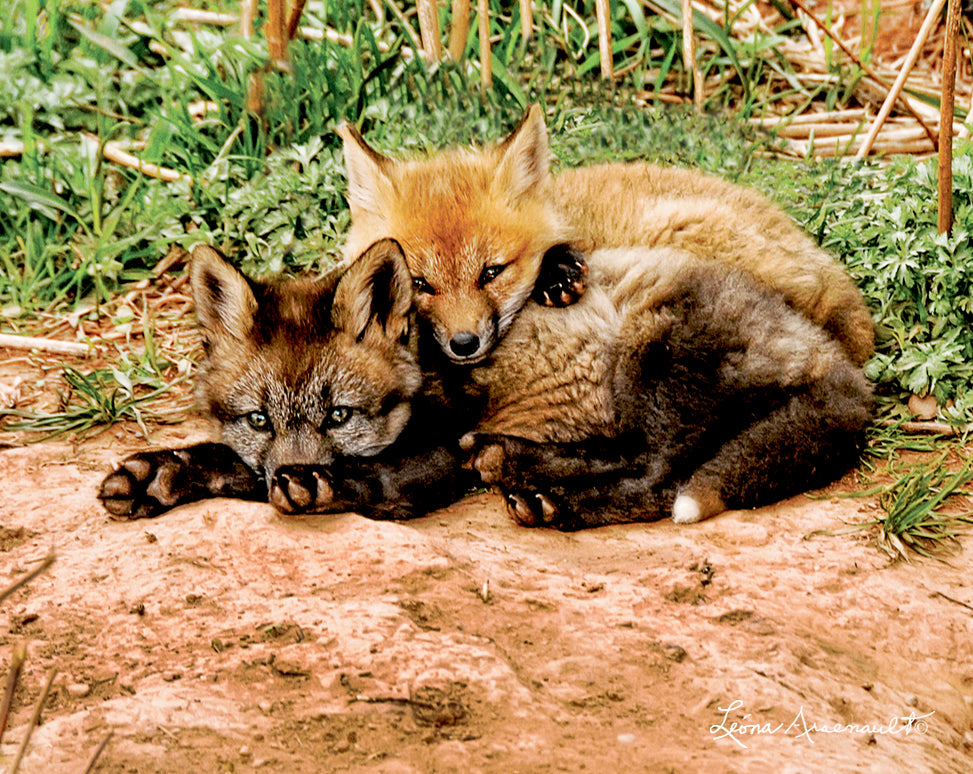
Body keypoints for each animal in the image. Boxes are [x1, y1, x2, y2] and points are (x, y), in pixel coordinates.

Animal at [99, 238, 872, 530]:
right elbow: (230, 463)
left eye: (341, 414)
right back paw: (517, 463)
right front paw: (162, 473)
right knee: (622, 456)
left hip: (654, 362)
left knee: (655, 479)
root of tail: (840, 362)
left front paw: (319, 487)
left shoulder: (431, 453)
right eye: (259, 420)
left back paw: (557, 505)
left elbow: (378, 484)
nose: (292, 469)